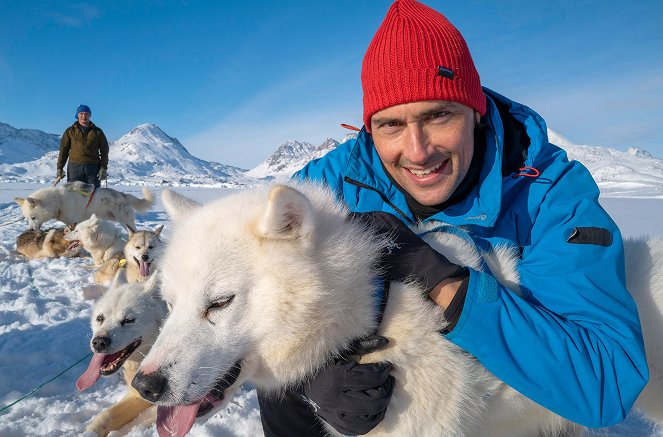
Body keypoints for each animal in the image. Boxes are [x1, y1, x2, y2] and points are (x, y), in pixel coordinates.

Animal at [14, 179, 153, 230]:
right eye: (27, 219)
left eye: (33, 217)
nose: (30, 230)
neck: (58, 201)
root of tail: (124, 195)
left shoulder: (74, 222)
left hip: (125, 221)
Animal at [76, 270, 167, 434]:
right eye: (100, 318)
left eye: (128, 320)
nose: (98, 342)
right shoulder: (136, 394)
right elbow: (107, 414)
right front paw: (90, 432)